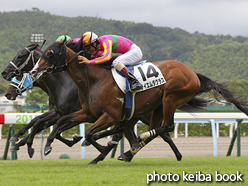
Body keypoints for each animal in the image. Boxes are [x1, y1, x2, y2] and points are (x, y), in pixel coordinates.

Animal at [2, 42, 182, 164]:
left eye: (20, 55)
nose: (5, 73)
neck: (64, 83)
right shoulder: (60, 112)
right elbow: (38, 121)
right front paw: (19, 141)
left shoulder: (72, 113)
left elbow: (47, 126)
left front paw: (25, 144)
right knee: (129, 132)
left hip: (144, 113)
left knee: (160, 133)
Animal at [30, 40, 248, 161]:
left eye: (49, 53)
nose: (33, 71)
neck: (93, 80)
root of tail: (193, 73)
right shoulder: (87, 113)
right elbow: (62, 122)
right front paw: (48, 145)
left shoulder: (110, 115)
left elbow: (91, 134)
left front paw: (103, 148)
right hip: (156, 106)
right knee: (156, 128)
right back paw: (129, 151)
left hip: (170, 98)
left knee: (166, 127)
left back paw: (135, 143)